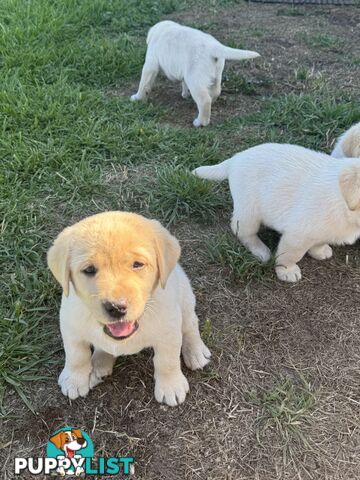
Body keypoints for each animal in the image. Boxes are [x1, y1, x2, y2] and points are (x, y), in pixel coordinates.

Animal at [47, 212, 211, 406]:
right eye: (89, 269)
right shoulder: (70, 326)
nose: (116, 307)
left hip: (185, 298)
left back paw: (196, 352)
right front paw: (74, 380)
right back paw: (98, 364)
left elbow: (167, 360)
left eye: (138, 264)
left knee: (190, 325)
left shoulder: (169, 331)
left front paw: (171, 386)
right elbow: (76, 355)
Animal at [129, 20, 258, 126]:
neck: (163, 29)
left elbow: (144, 82)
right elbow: (183, 82)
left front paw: (137, 97)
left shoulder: (151, 64)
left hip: (195, 78)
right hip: (215, 75)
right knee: (215, 92)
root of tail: (213, 47)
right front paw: (185, 94)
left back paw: (200, 122)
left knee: (204, 100)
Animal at [194, 144, 360, 284]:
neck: (344, 204)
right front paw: (287, 271)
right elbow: (290, 255)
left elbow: (319, 241)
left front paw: (319, 250)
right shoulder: (297, 235)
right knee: (241, 231)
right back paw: (260, 250)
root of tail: (236, 158)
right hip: (249, 211)